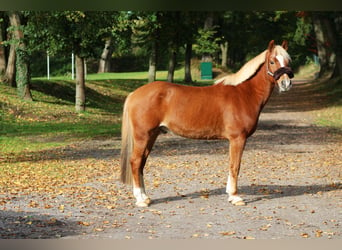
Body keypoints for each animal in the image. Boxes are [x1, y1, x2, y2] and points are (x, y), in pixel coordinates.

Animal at [120, 40, 294, 207]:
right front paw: (235, 197)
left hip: (152, 135)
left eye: (288, 61)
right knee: (135, 162)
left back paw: (145, 197)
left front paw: (230, 194)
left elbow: (231, 165)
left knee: (141, 163)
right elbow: (235, 166)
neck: (244, 93)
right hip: (143, 136)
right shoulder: (238, 139)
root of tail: (134, 93)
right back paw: (140, 200)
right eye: (272, 61)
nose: (286, 84)